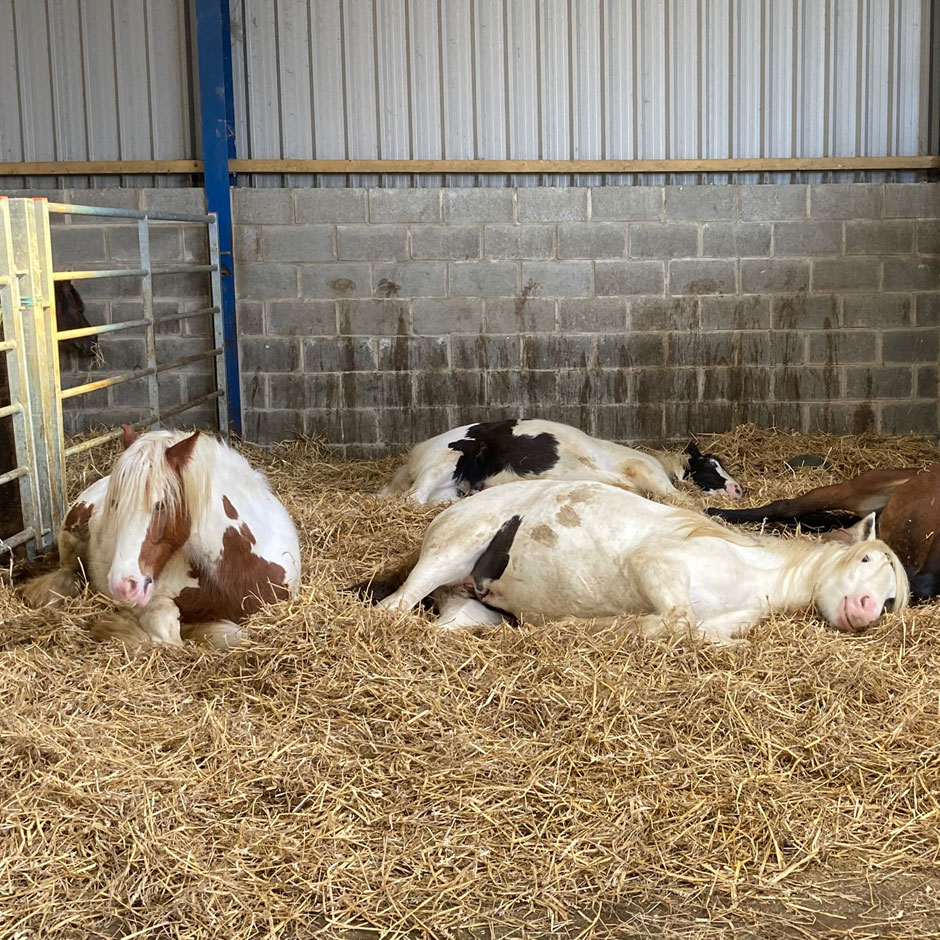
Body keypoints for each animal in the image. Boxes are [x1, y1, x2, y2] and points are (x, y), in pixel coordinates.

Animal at [362, 479, 907, 645]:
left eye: (893, 600)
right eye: (864, 558)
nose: (864, 609)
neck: (750, 575)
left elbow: (699, 634)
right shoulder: (657, 565)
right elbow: (676, 619)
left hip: (469, 610)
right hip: (449, 555)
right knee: (393, 608)